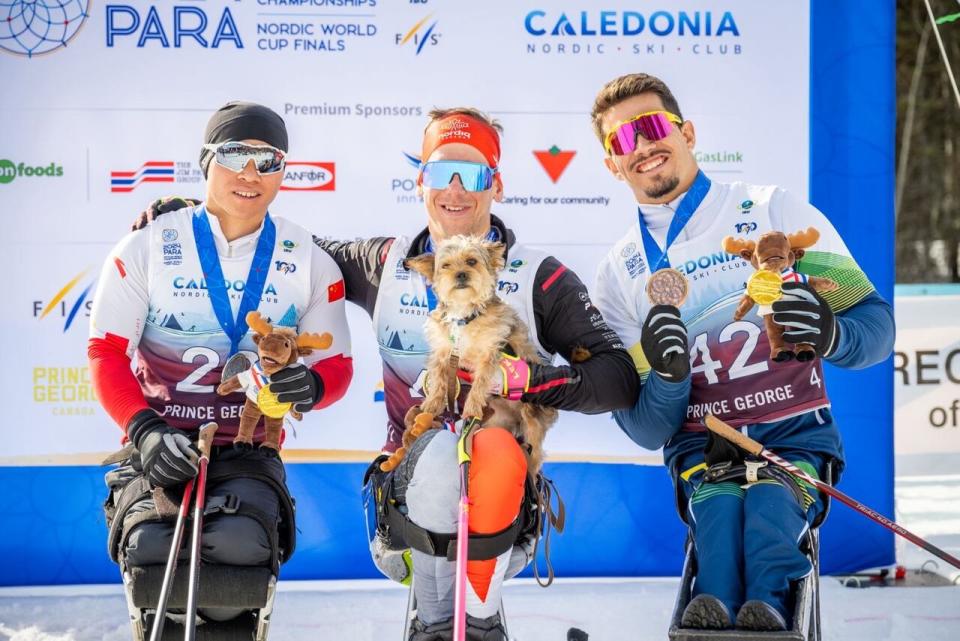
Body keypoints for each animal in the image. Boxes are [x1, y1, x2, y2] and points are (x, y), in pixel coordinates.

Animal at [404, 234, 556, 470]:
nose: (461, 274)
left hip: (532, 418)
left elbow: (481, 381)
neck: (464, 315)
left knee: (535, 451)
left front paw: (472, 407)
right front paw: (432, 404)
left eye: (471, 261)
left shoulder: (491, 351)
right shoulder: (443, 351)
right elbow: (438, 378)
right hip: (496, 419)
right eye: (446, 265)